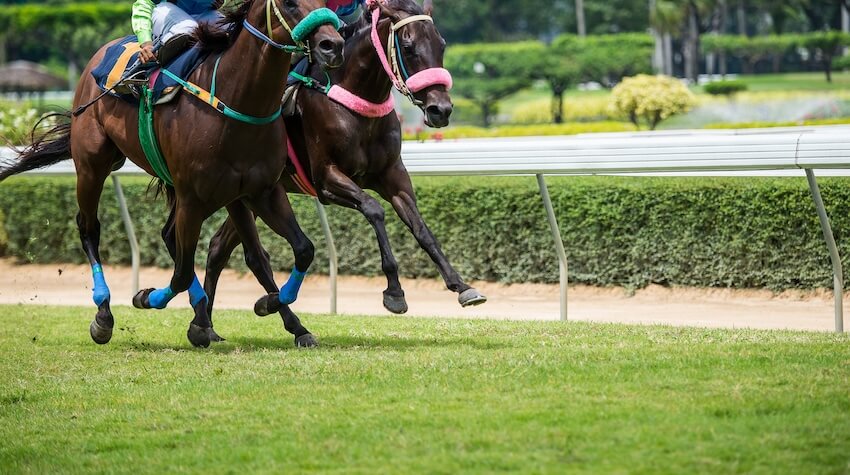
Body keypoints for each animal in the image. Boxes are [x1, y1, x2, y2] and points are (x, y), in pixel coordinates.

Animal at [0, 0, 344, 348]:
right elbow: (180, 273)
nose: (333, 45)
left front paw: (269, 306)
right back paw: (105, 315)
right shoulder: (193, 197)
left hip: (225, 195)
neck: (238, 101)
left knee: (230, 250)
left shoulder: (262, 191)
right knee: (89, 228)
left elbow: (301, 250)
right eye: (289, 4)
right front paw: (146, 297)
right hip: (92, 164)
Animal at [199, 0, 486, 340]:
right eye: (408, 46)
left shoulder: (393, 176)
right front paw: (395, 292)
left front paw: (462, 286)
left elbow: (421, 229)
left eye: (441, 44)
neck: (356, 103)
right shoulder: (327, 179)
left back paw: (212, 325)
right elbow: (374, 209)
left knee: (218, 247)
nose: (440, 110)